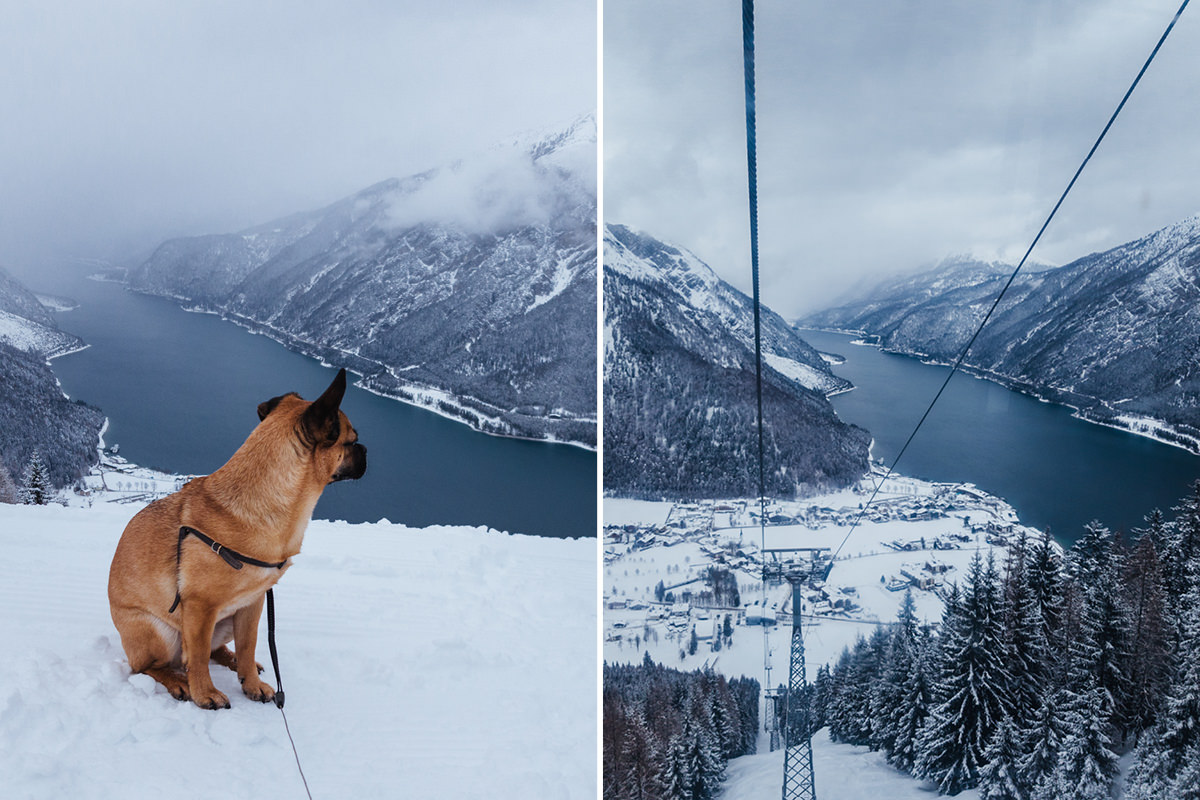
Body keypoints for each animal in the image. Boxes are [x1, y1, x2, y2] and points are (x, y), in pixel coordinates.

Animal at [107, 367, 364, 705]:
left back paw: (234, 664)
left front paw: (251, 683)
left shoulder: (253, 604)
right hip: (161, 633)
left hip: (224, 622)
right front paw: (204, 693)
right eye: (352, 441)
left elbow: (247, 644)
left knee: (218, 650)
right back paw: (178, 681)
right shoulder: (200, 607)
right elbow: (197, 655)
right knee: (150, 666)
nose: (366, 450)